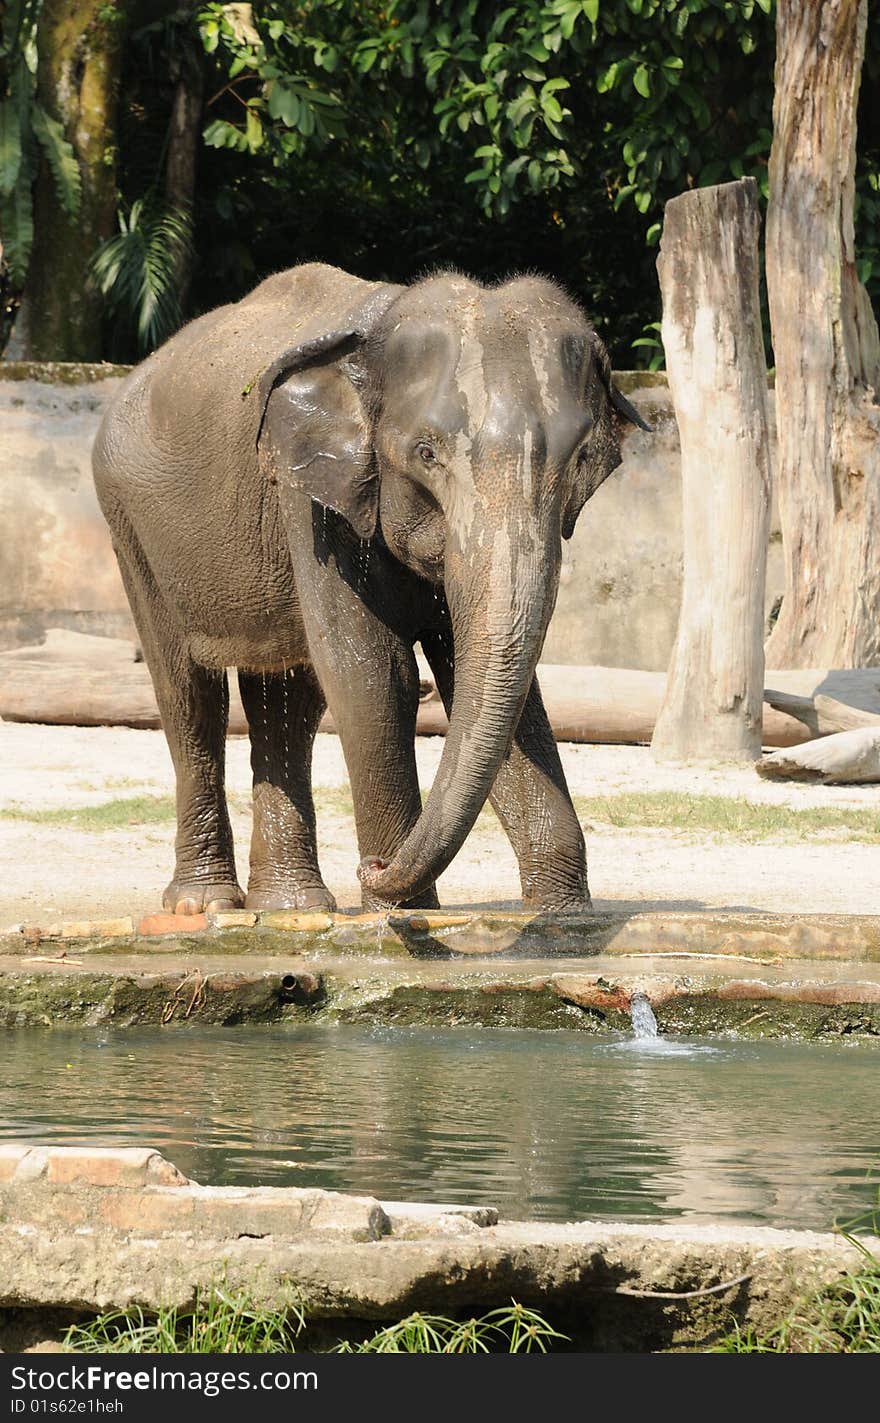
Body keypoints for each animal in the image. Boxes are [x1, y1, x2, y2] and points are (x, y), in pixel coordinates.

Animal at [93, 261, 643, 916]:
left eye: (580, 457)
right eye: (426, 453)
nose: (374, 868)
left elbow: (479, 675)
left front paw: (563, 919)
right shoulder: (308, 502)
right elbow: (373, 675)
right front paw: (403, 916)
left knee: (288, 700)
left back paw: (294, 907)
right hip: (131, 527)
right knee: (189, 695)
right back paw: (206, 906)